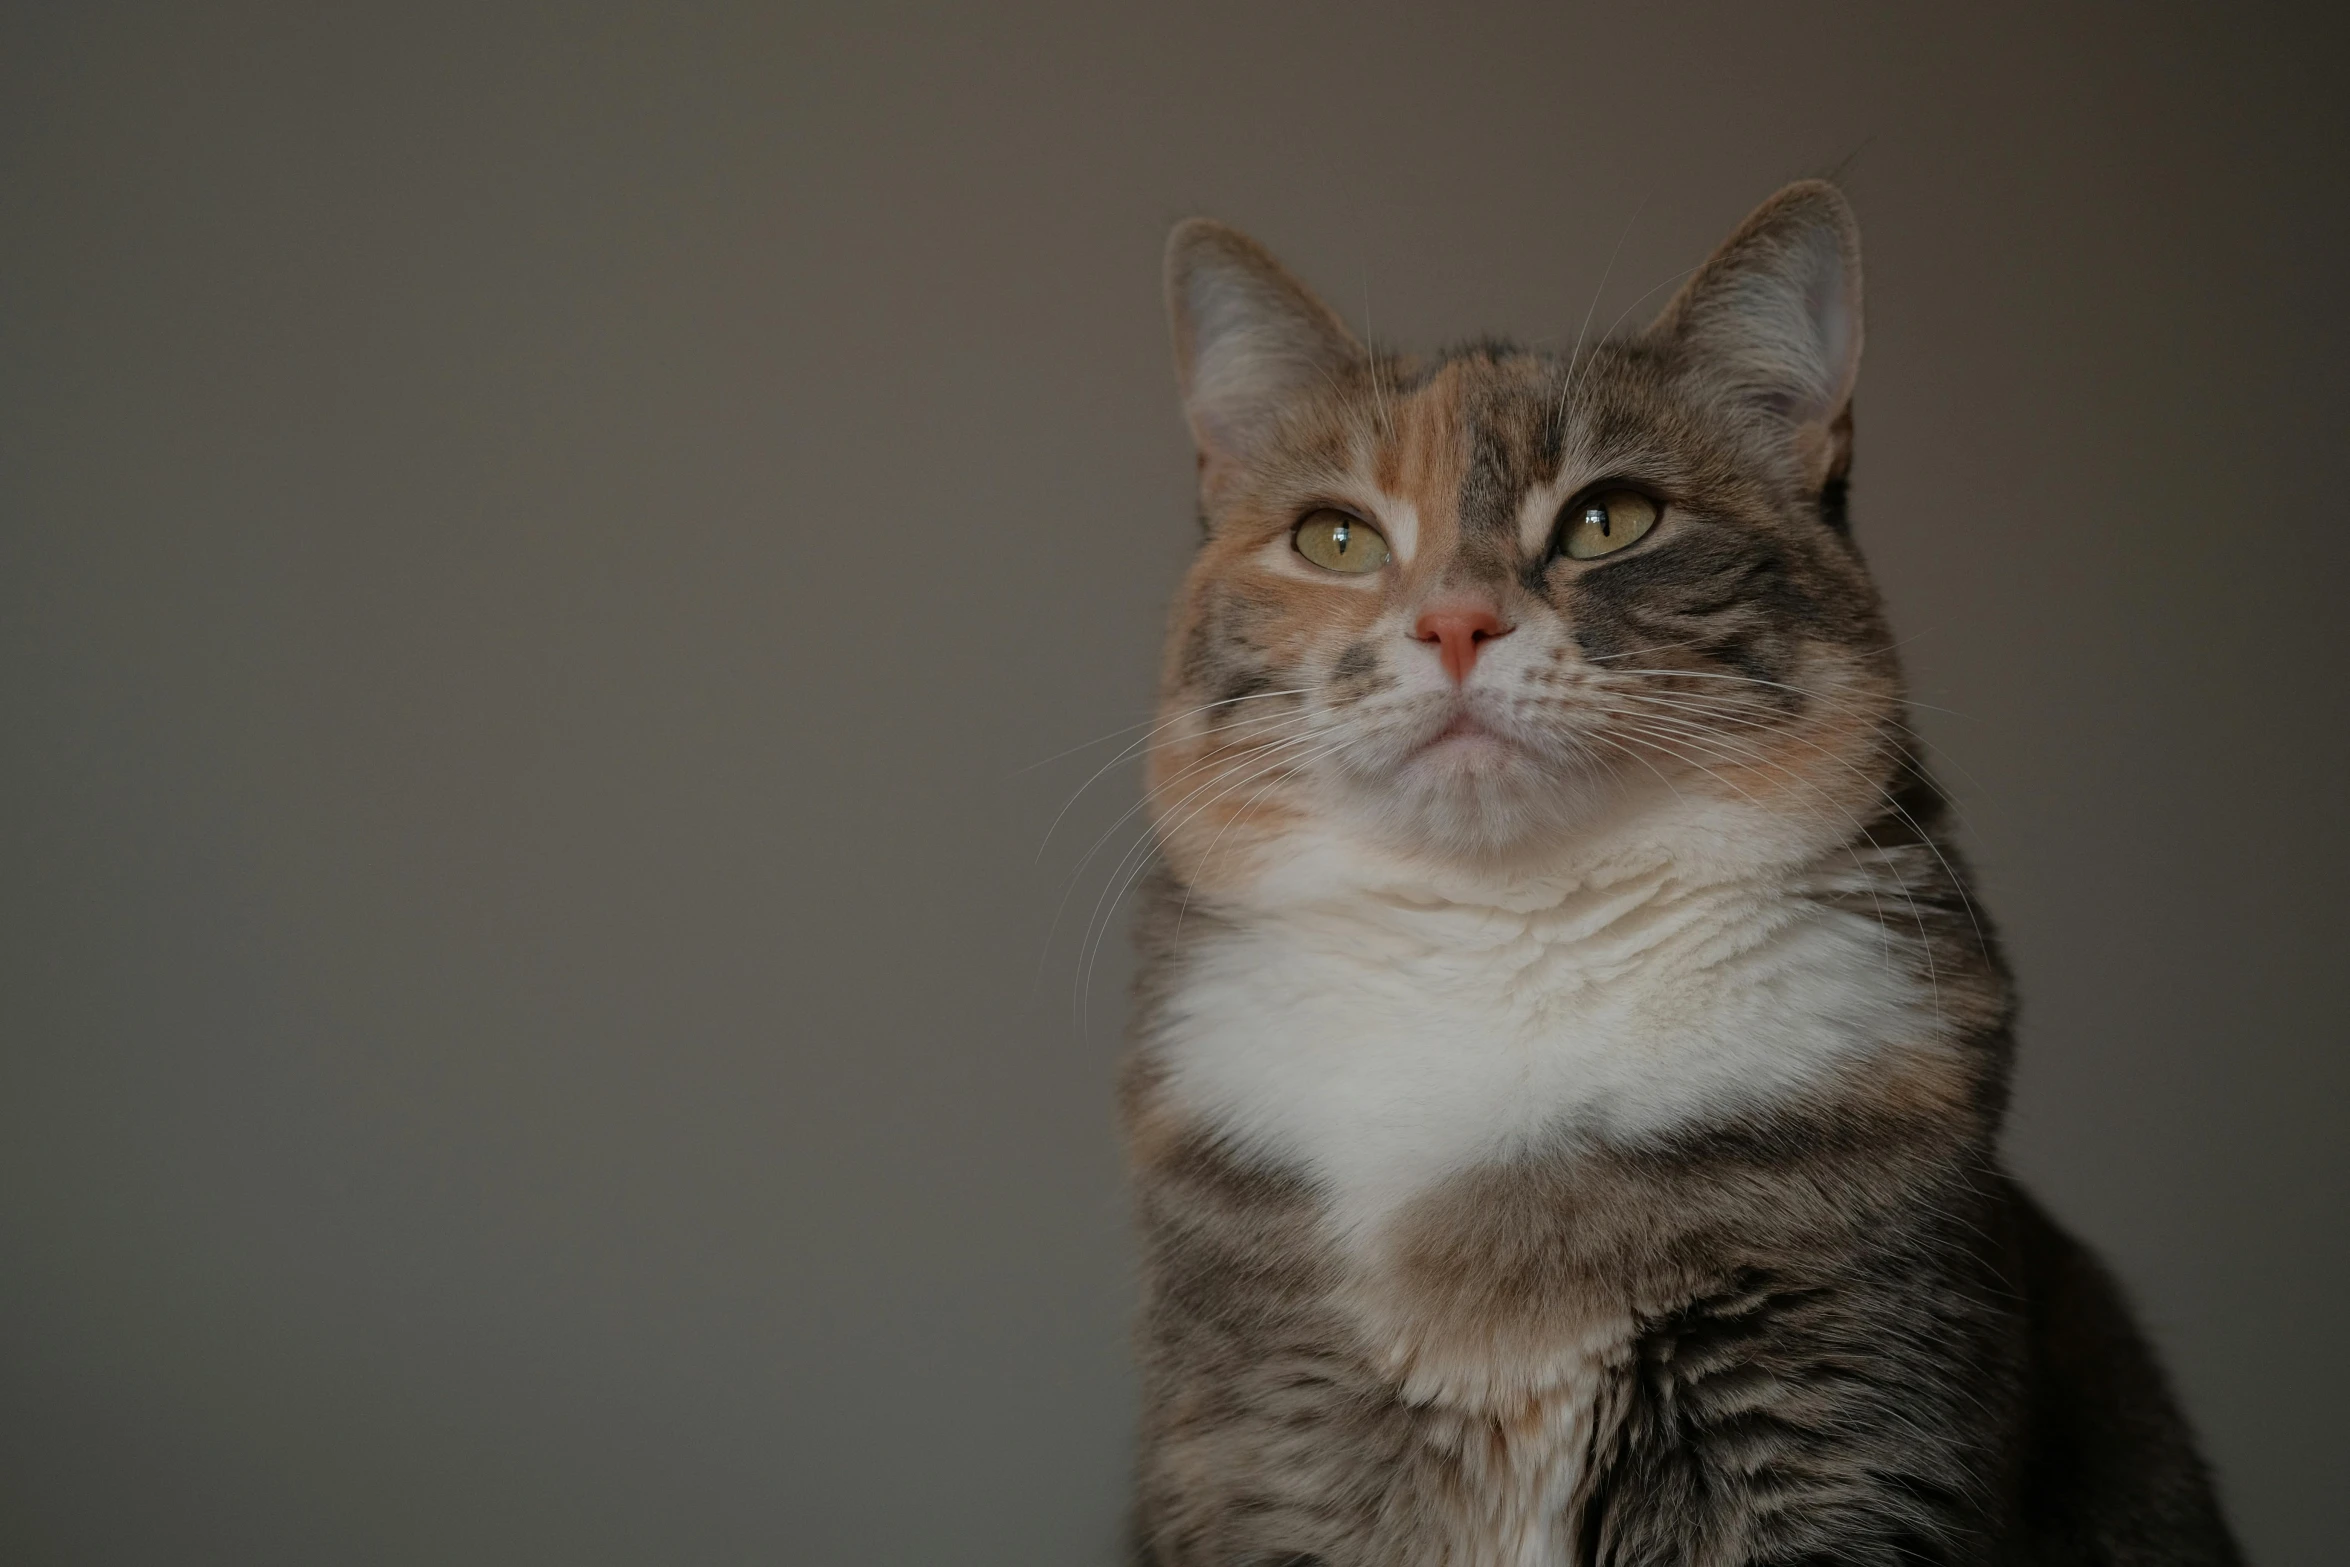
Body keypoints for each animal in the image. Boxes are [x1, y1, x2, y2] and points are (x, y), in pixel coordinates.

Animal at [1118, 184, 2237, 1567]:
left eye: (1610, 520)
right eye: (1333, 538)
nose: (1452, 622)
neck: (1506, 946)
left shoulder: (1835, 1417)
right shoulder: (1261, 1443)